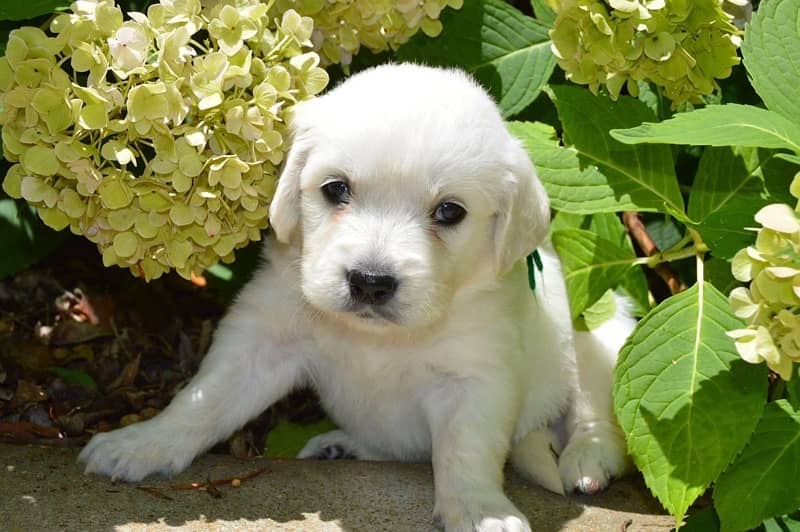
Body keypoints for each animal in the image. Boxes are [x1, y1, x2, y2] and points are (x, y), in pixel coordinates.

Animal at [79, 64, 632, 528]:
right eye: (336, 189)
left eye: (450, 211)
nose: (370, 281)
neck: (379, 340)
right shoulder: (262, 340)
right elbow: (203, 400)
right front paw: (142, 443)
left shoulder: (476, 378)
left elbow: (465, 453)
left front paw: (480, 512)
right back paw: (341, 446)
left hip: (599, 332)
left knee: (595, 412)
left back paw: (588, 457)